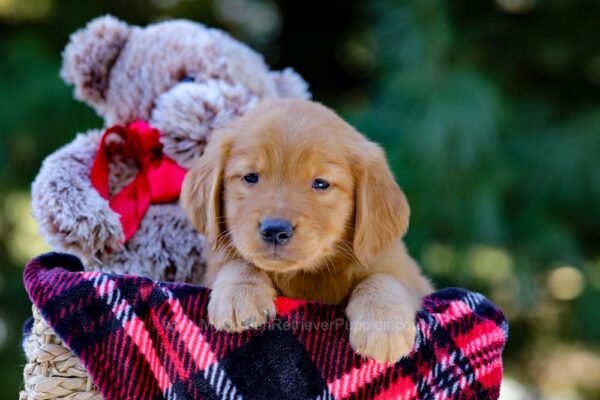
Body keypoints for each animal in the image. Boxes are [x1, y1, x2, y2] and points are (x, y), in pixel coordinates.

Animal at [182, 97, 432, 362]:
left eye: (320, 183)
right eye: (250, 177)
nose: (275, 230)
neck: (306, 275)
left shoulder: (409, 274)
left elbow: (384, 278)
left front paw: (383, 325)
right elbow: (239, 261)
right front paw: (238, 293)